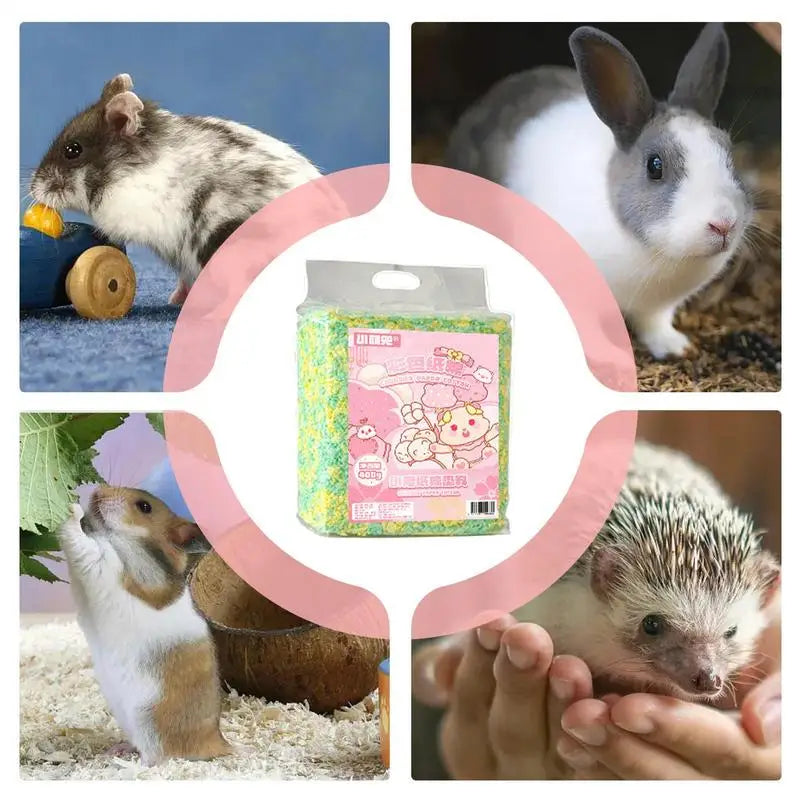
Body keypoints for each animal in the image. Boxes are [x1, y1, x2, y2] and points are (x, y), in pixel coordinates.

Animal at [57, 486, 231, 764]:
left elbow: (82, 542)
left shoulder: (103, 562)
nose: (96, 490)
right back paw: (116, 750)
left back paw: (125, 764)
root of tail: (218, 744)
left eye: (144, 507)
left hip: (149, 723)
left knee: (157, 757)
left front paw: (73, 507)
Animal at [446, 24, 753, 359]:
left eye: (728, 152)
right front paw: (614, 358)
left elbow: (654, 324)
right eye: (655, 166)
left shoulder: (657, 308)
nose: (724, 224)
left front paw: (675, 347)